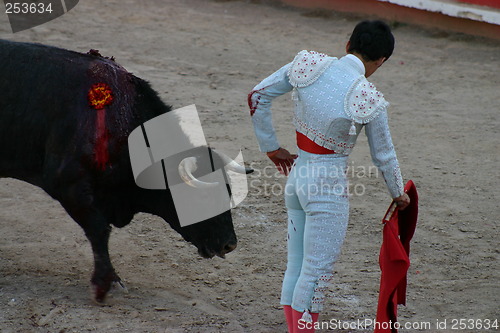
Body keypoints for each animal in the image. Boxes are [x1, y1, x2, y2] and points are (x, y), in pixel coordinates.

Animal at [0, 39, 249, 300]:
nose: (230, 244)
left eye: (228, 191)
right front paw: (106, 283)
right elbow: (100, 230)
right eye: (203, 196)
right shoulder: (67, 184)